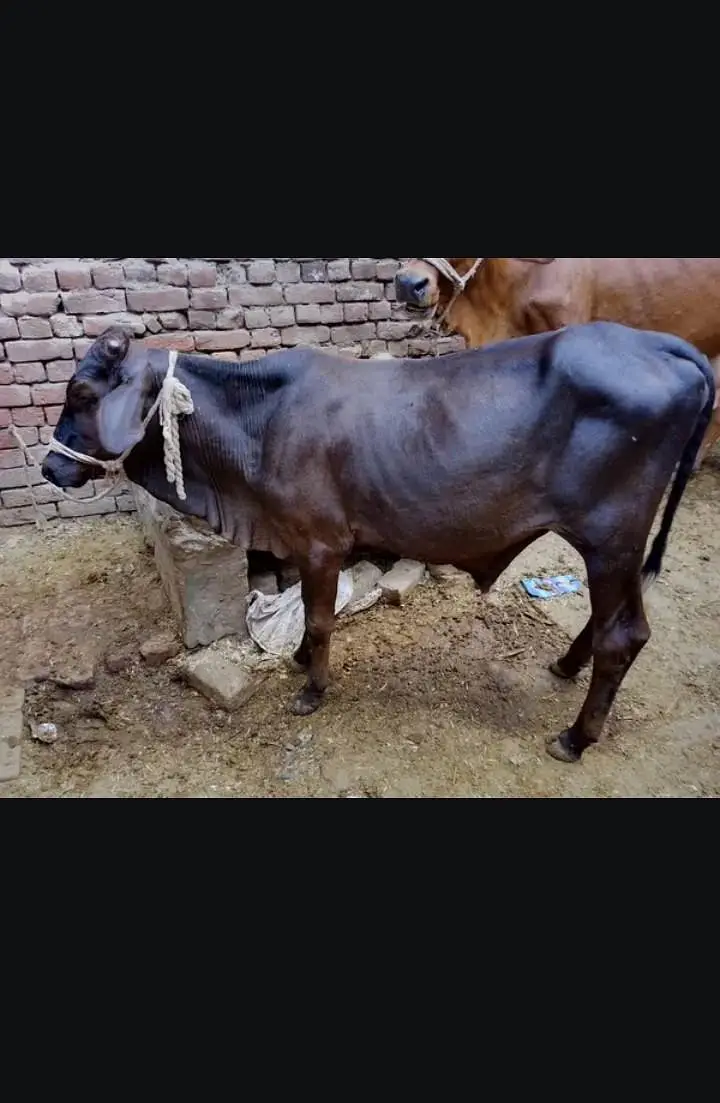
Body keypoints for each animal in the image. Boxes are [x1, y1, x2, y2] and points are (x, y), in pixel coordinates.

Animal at [42, 323, 715, 765]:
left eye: (83, 394)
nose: (50, 467)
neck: (257, 421)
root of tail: (660, 343)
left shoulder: (319, 542)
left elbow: (319, 619)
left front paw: (312, 689)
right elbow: (309, 618)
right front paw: (298, 663)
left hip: (611, 535)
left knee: (624, 635)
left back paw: (575, 737)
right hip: (616, 546)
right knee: (614, 624)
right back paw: (566, 667)